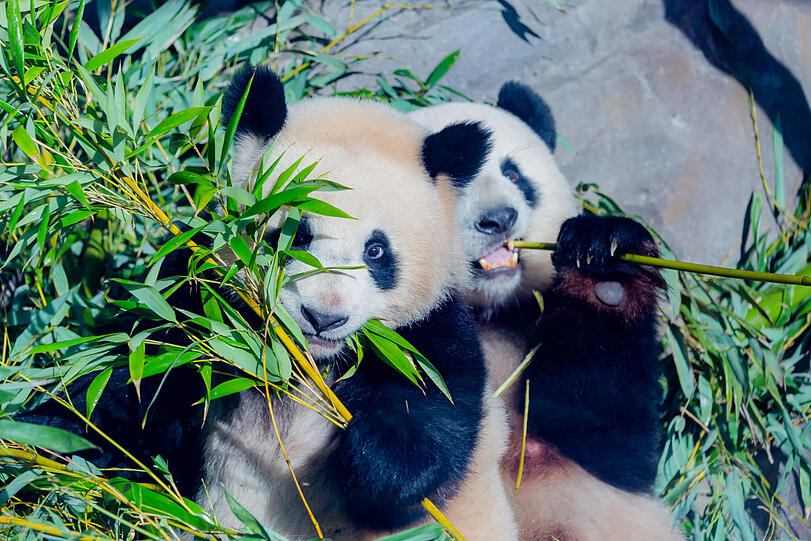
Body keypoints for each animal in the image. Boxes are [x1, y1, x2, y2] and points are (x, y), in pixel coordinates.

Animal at [195, 67, 519, 540]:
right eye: (296, 235)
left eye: (376, 251)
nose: (323, 317)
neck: (310, 364)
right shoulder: (212, 311)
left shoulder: (425, 335)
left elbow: (427, 436)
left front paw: (378, 458)